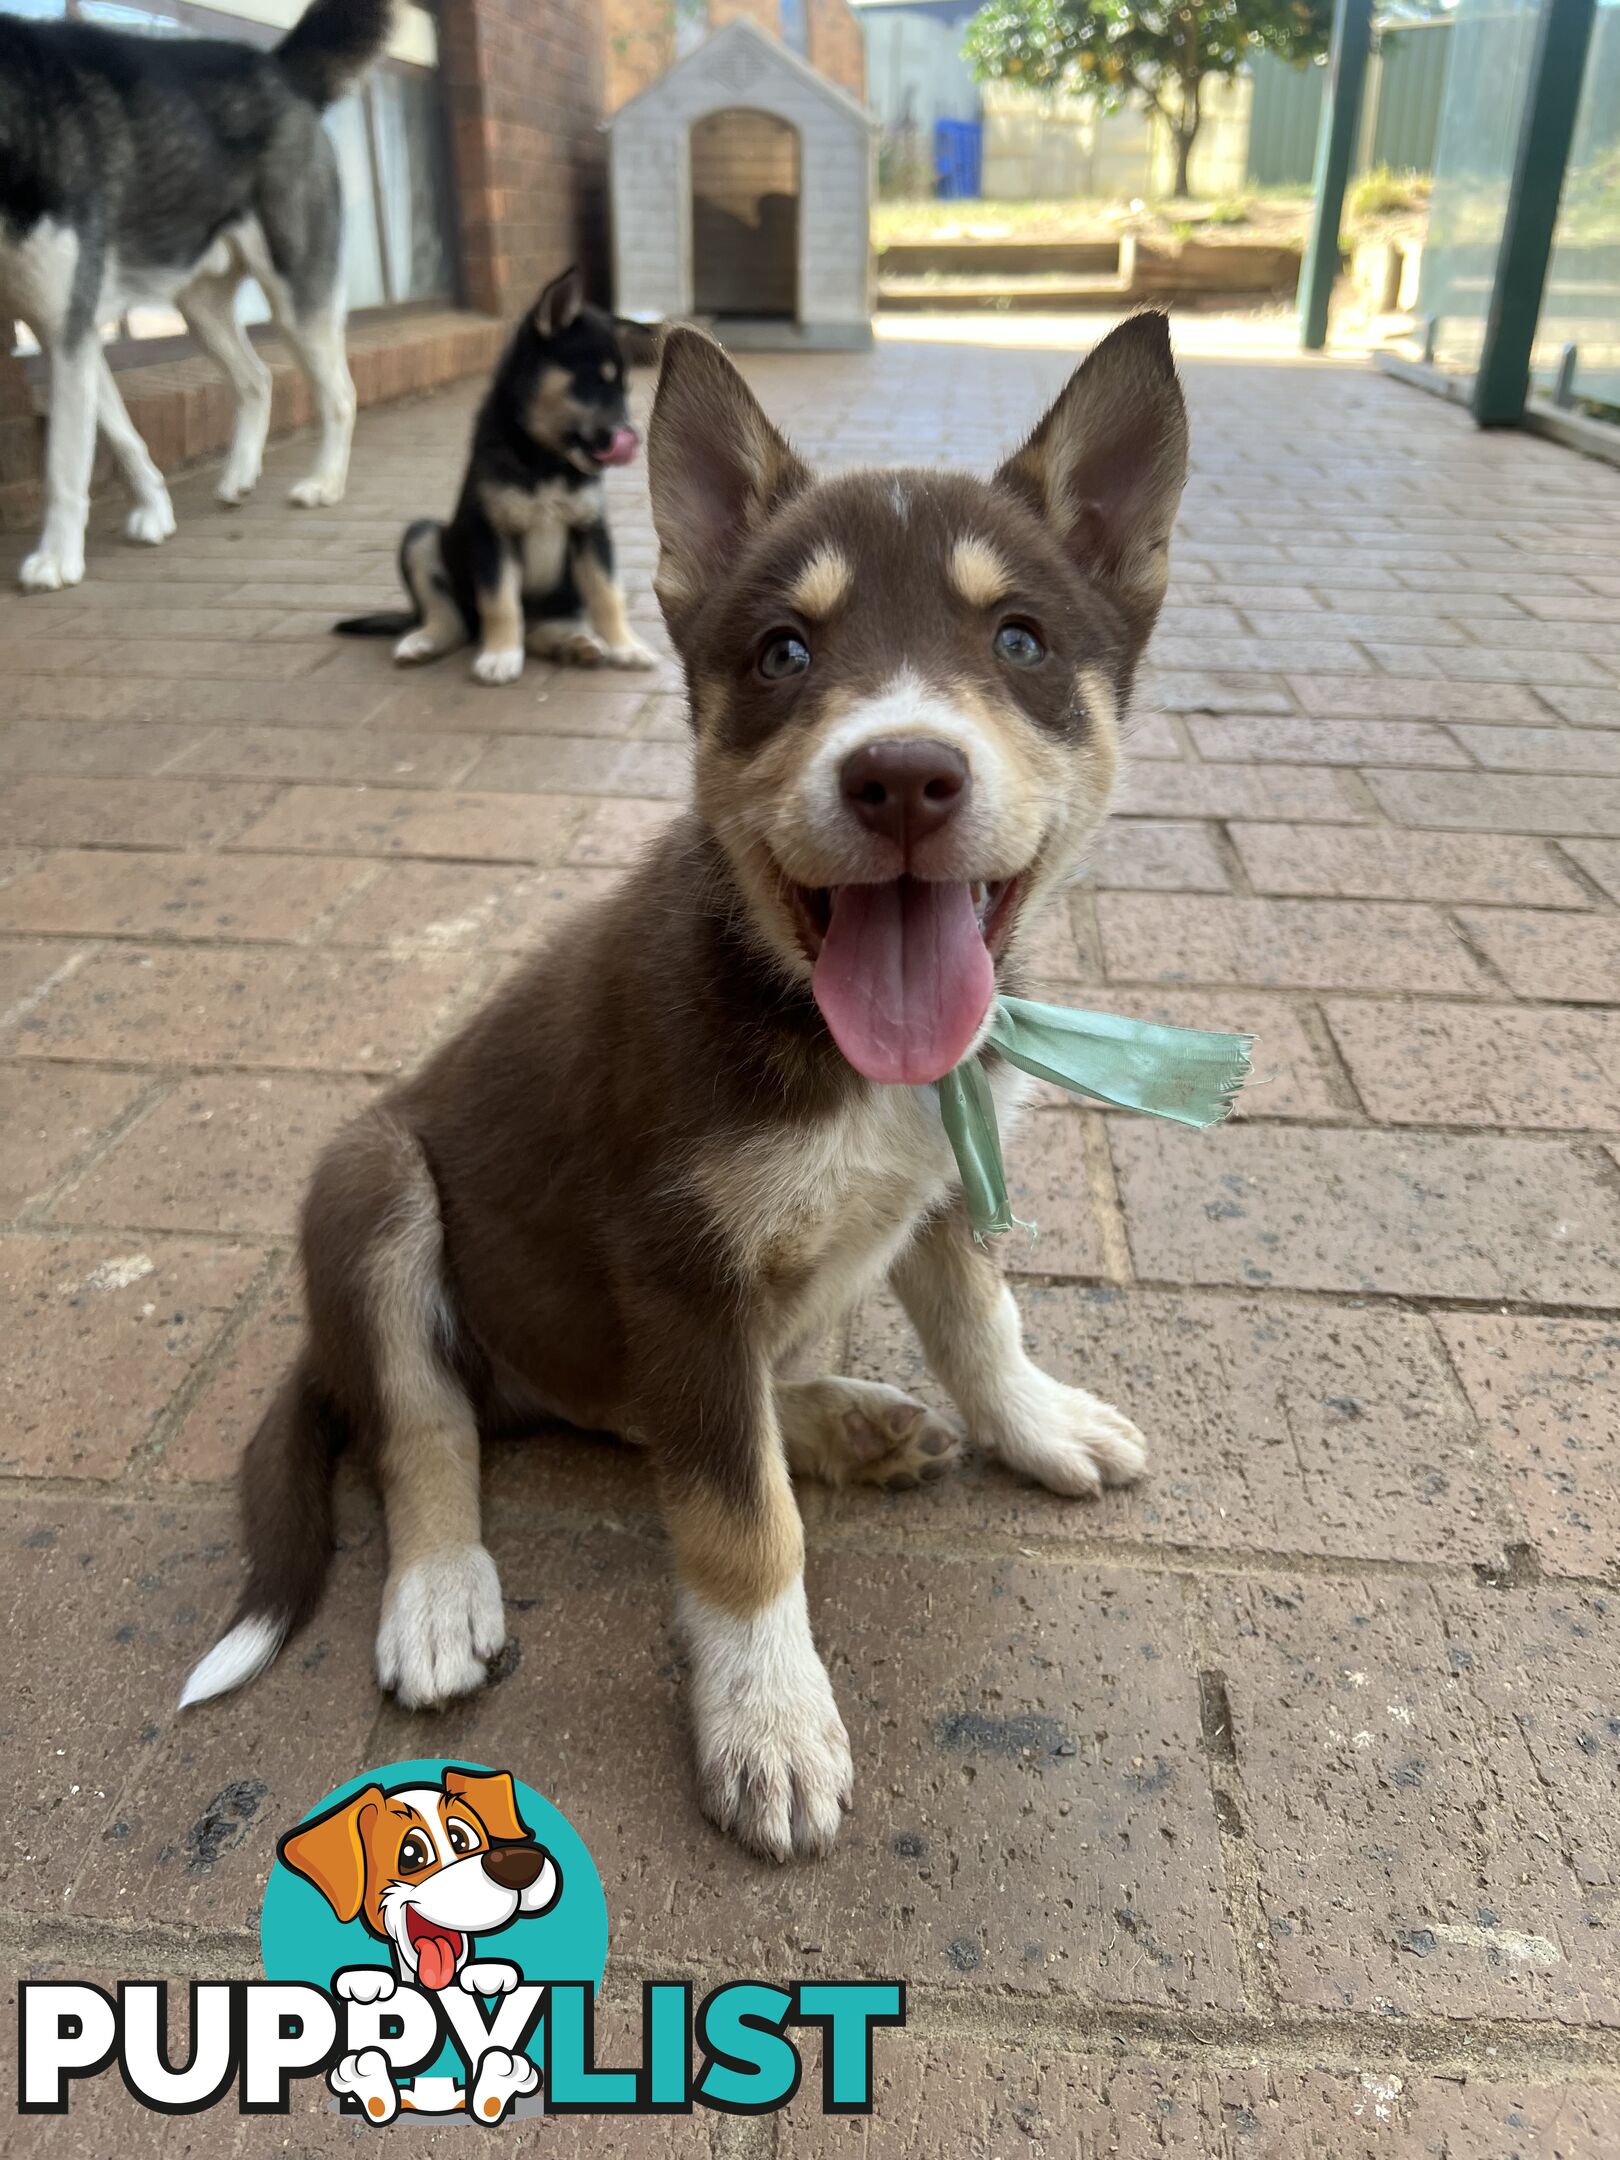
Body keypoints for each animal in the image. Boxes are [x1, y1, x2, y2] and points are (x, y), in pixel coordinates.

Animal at [0, 0, 393, 591]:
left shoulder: (67, 330)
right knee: (257, 378)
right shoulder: (69, 334)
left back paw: (324, 481)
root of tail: (277, 68)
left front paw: (56, 557)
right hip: (202, 311)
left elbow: (65, 461)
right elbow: (121, 434)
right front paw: (156, 511)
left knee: (340, 394)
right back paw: (240, 474)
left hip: (296, 298)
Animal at [183, 313, 1192, 1866]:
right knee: (433, 1422)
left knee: (651, 1409)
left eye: (1020, 640)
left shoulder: (939, 1181)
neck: (820, 1025)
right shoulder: (674, 1263)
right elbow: (736, 1517)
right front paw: (770, 1726)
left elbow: (979, 1325)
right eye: (783, 651)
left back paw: (847, 1421)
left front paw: (1033, 1424)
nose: (905, 775)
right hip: (372, 1181)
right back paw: (441, 1594)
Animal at [336, 265, 660, 682]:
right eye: (592, 382)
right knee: (452, 620)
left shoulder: (591, 529)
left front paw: (626, 646)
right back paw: (423, 641)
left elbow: (608, 594)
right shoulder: (491, 532)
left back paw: (576, 645)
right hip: (423, 538)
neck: (545, 459)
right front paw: (501, 655)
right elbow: (501, 602)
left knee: (540, 629)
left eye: (623, 389)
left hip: (562, 600)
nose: (631, 438)